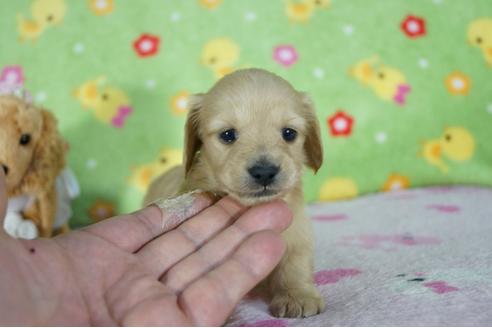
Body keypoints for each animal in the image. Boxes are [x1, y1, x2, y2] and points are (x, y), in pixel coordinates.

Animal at [144, 68, 324, 318]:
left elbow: (295, 263)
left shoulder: (298, 232)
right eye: (227, 135)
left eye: (289, 133)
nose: (265, 172)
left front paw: (297, 295)